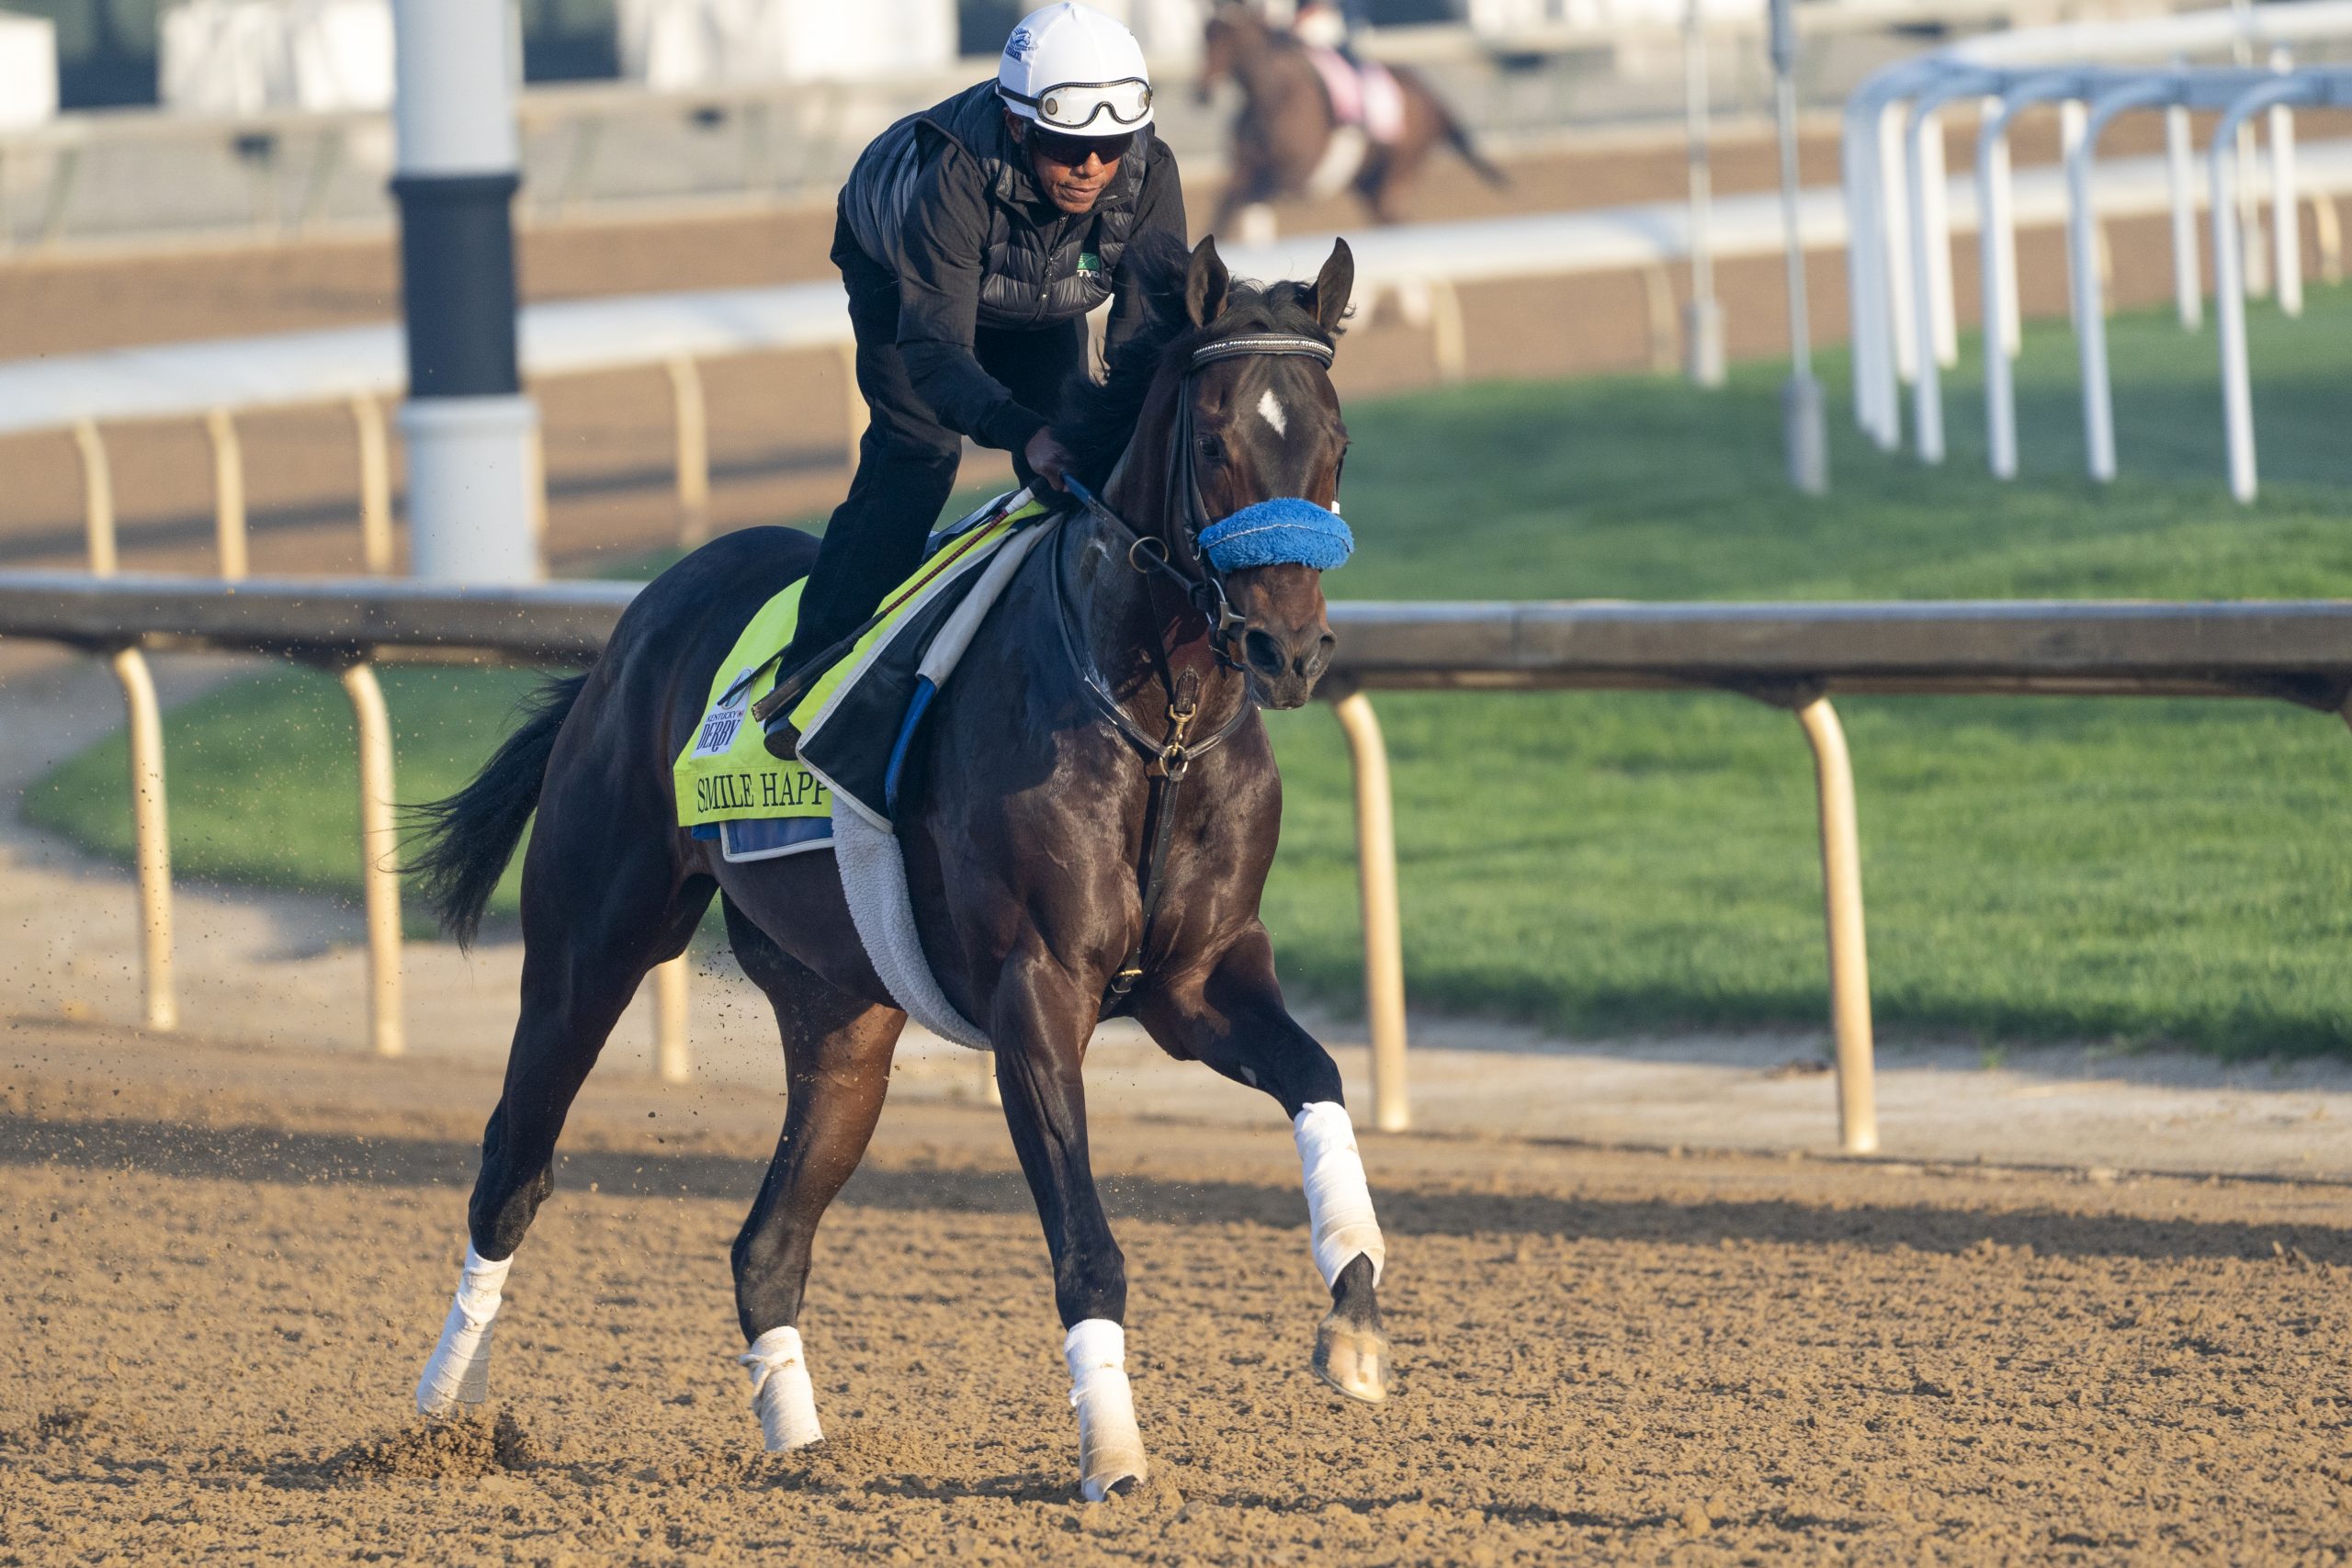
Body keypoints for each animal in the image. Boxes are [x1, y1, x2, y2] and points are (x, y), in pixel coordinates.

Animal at [409, 232, 1392, 1495]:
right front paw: (1113, 1455)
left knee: (766, 1245)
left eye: (1334, 442)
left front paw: (1353, 1318)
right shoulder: (1037, 991)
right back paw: (435, 1421)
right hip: (592, 942)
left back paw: (801, 1455)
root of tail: (631, 627)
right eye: (1216, 441)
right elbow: (1084, 1243)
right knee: (512, 1168)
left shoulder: (1199, 978)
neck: (1155, 726)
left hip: (842, 1017)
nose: (1289, 649)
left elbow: (1317, 1077)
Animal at [1204, 0, 1496, 232]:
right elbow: (1224, 207)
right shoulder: (1246, 169)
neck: (1274, 97)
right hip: (1371, 184)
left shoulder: (1293, 177)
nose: (1201, 92)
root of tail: (1433, 97)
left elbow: (1248, 196)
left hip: (1398, 171)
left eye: (1230, 35)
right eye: (1206, 33)